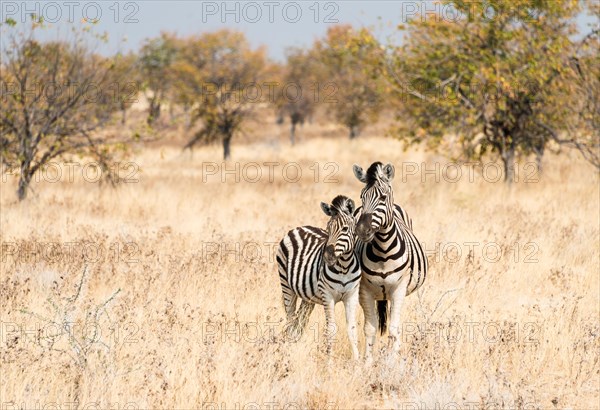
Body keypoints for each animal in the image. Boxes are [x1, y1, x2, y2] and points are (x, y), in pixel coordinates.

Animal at [276, 195, 360, 358]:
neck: (344, 266)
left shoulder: (352, 295)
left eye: (345, 229)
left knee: (300, 322)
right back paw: (287, 352)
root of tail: (299, 228)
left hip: (307, 297)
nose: (327, 256)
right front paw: (329, 362)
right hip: (286, 285)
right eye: (328, 229)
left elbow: (352, 330)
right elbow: (331, 330)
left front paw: (358, 361)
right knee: (290, 320)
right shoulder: (327, 295)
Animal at [354, 163, 428, 362]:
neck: (383, 251)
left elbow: (394, 330)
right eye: (362, 196)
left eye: (382, 197)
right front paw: (368, 363)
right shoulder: (364, 290)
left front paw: (391, 362)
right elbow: (369, 329)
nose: (361, 230)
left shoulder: (398, 289)